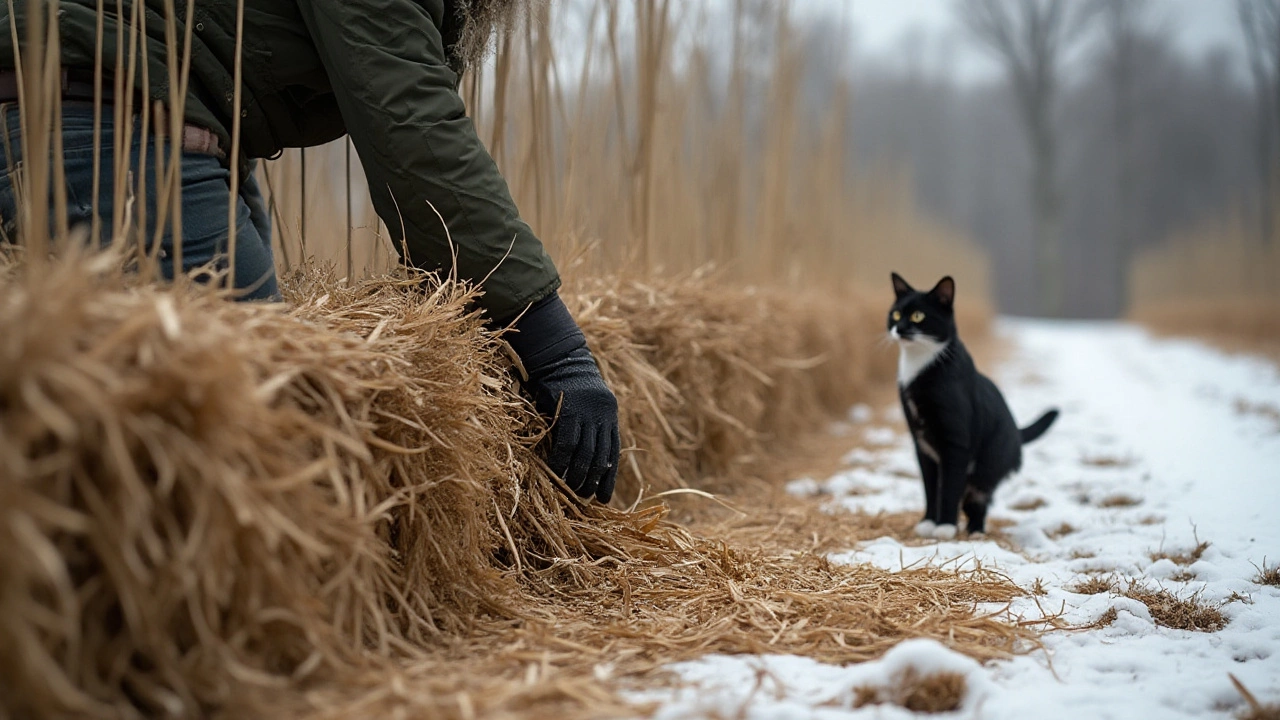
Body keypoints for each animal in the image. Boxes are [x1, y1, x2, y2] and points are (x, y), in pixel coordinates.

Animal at [890, 272, 1059, 538]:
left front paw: (945, 526)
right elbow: (930, 487)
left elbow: (949, 488)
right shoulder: (922, 446)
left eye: (918, 316)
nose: (899, 328)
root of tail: (1017, 432)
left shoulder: (957, 443)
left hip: (986, 468)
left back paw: (976, 531)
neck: (919, 364)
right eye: (896, 314)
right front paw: (928, 522)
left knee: (978, 499)